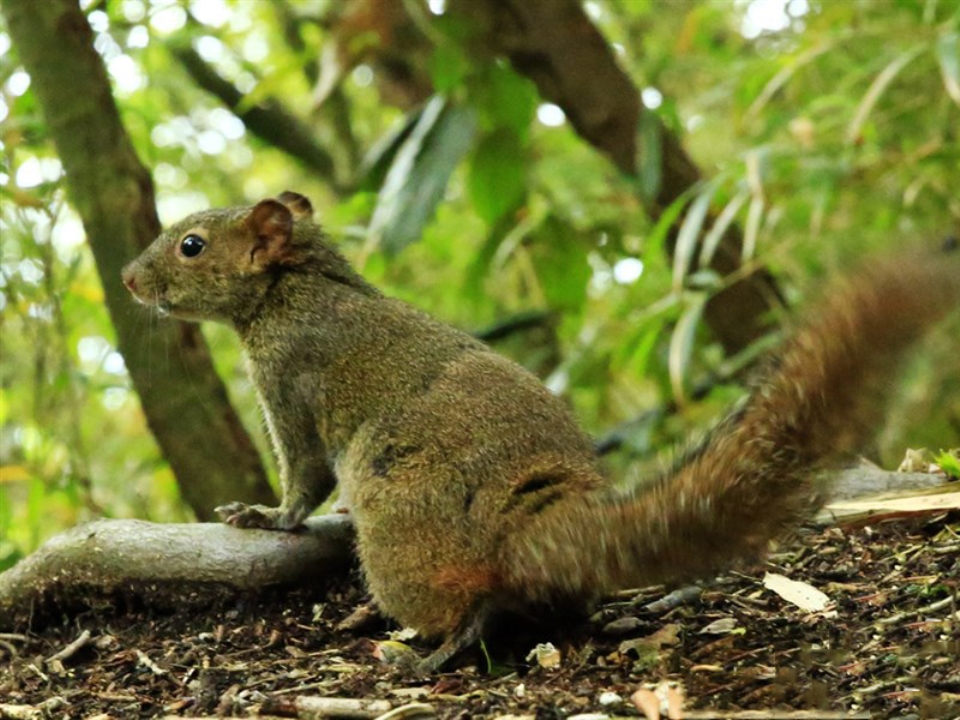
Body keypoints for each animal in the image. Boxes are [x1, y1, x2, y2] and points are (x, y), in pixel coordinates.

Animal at [120, 191, 960, 668]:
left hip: (397, 521)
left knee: (480, 604)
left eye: (191, 246)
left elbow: (301, 480)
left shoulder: (288, 379)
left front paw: (263, 514)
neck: (294, 285)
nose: (127, 279)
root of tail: (537, 521)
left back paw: (438, 652)